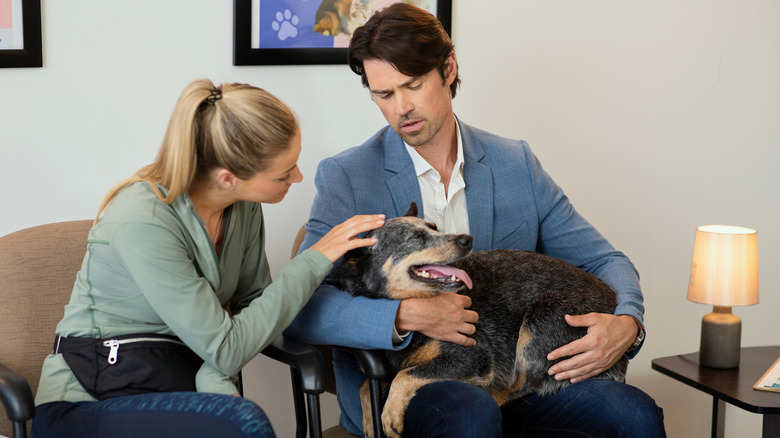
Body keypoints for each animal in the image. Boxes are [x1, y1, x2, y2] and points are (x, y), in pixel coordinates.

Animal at [332, 204, 632, 436]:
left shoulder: (473, 357)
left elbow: (405, 375)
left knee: (525, 385)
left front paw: (389, 414)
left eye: (435, 227)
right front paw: (369, 421)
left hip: (541, 318)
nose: (466, 239)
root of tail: (613, 301)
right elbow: (365, 386)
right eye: (416, 237)